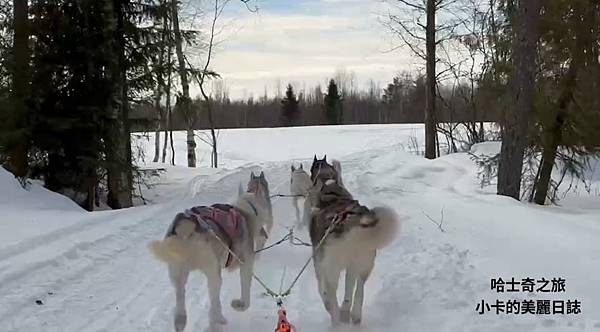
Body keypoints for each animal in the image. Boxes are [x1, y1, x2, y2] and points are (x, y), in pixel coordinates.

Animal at [149, 172, 274, 330]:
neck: (246, 210)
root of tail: (187, 226)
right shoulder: (246, 264)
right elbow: (246, 296)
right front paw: (238, 305)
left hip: (178, 272)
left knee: (180, 294)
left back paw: (180, 320)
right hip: (213, 273)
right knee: (214, 304)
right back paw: (218, 320)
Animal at [310, 178, 398, 326]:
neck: (334, 197)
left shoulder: (319, 265)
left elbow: (322, 290)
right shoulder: (351, 267)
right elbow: (350, 288)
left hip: (333, 268)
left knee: (332, 295)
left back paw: (336, 321)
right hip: (364, 263)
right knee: (359, 289)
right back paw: (353, 313)